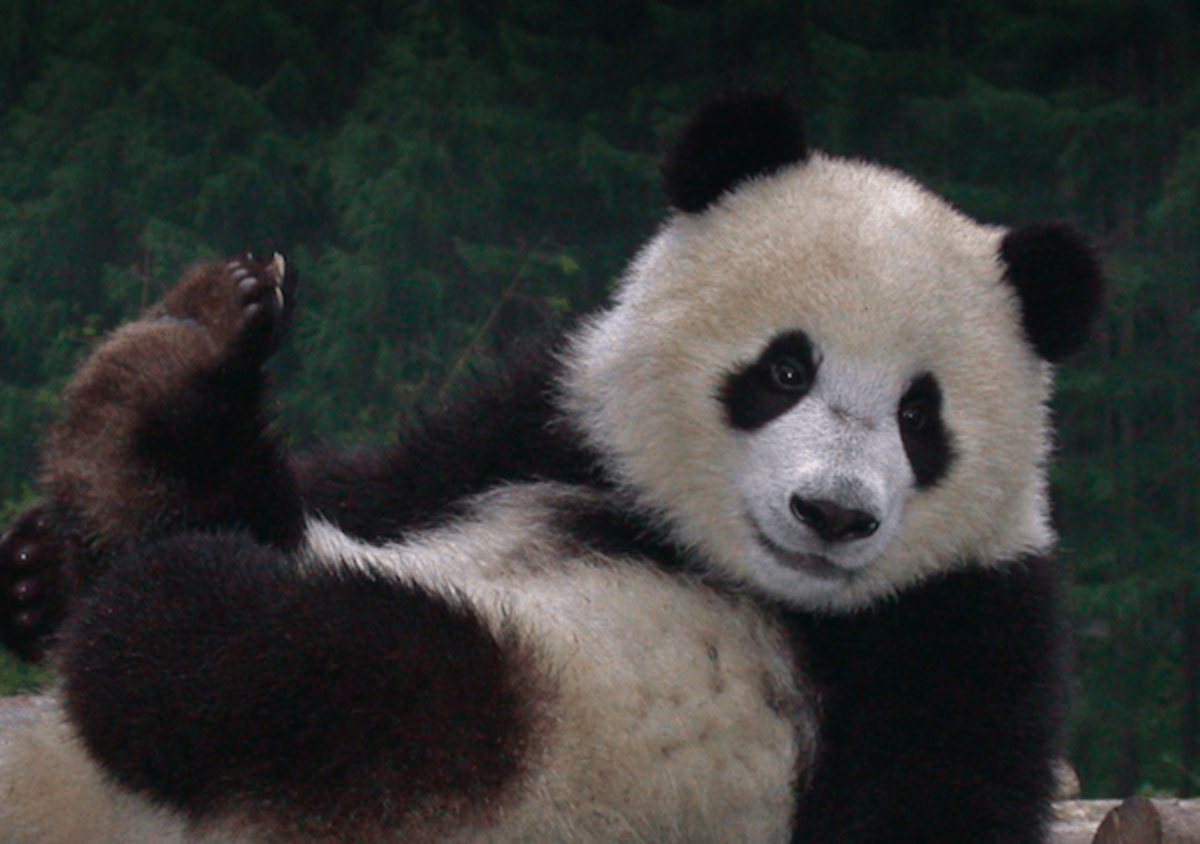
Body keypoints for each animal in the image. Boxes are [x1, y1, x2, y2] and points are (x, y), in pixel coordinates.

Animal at [0, 91, 1102, 842]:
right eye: (786, 368)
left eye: (921, 416)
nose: (832, 514)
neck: (733, 570)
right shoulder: (541, 427)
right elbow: (380, 482)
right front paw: (34, 571)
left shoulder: (962, 622)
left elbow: (935, 797)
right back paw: (176, 366)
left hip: (507, 738)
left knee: (318, 668)